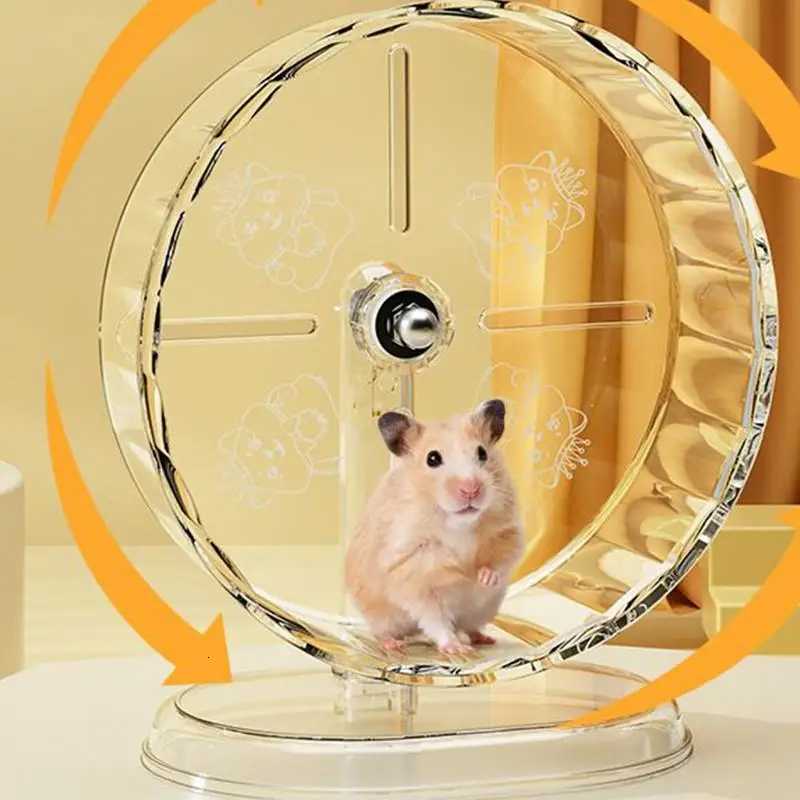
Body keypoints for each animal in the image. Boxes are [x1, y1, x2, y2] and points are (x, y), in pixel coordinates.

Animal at [345, 399, 523, 657]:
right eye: (432, 459)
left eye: (482, 453)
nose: (471, 489)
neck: (458, 524)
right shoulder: (410, 570)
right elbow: (435, 618)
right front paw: (456, 648)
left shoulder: (508, 531)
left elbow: (501, 560)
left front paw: (481, 578)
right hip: (381, 616)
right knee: (384, 632)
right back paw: (395, 645)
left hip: (483, 610)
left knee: (469, 627)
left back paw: (485, 639)